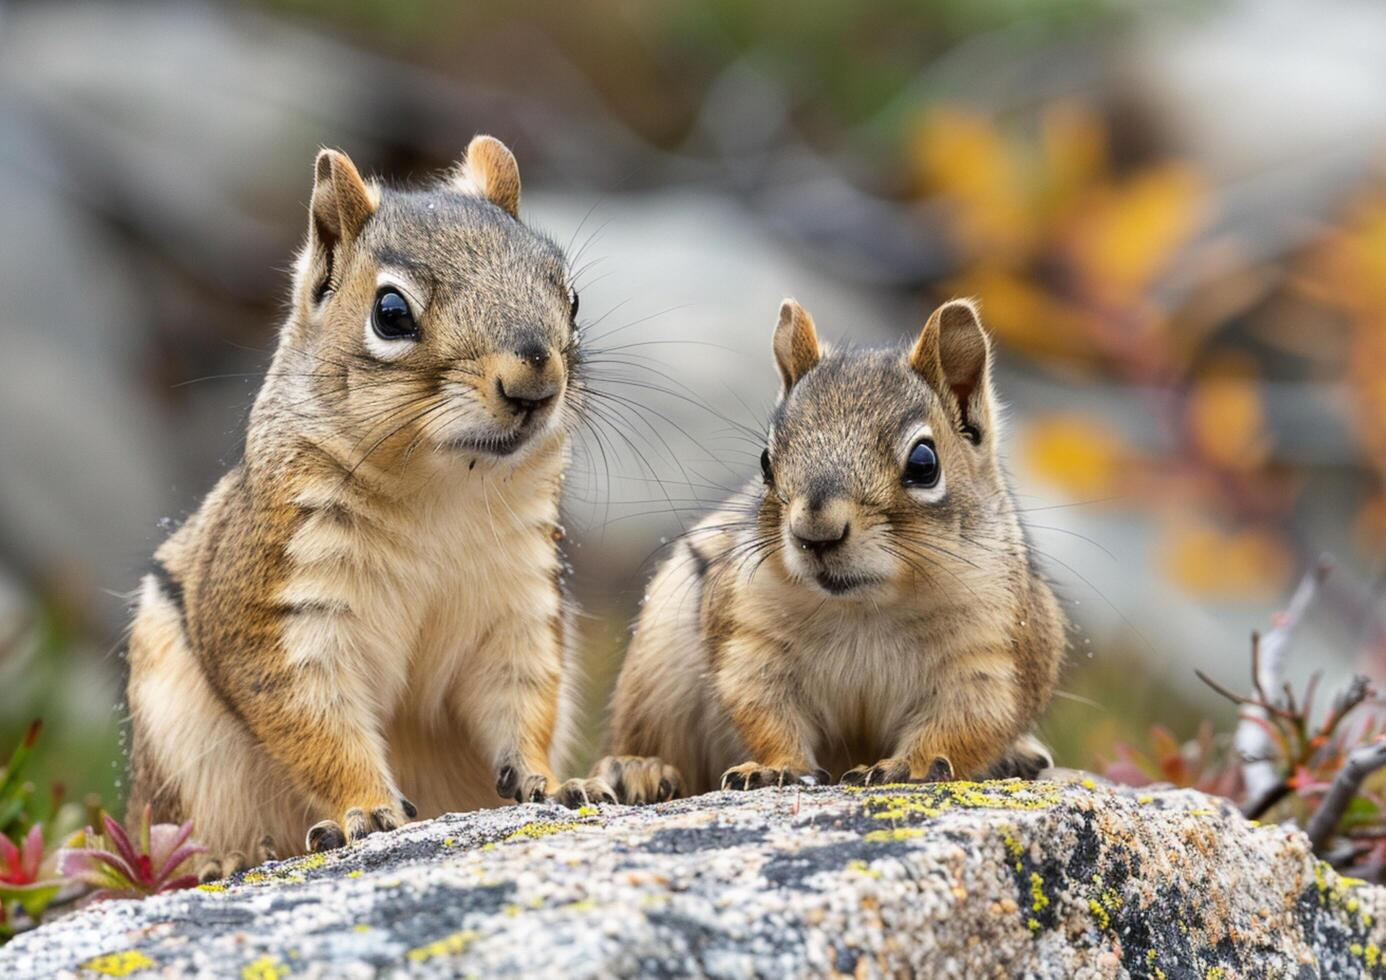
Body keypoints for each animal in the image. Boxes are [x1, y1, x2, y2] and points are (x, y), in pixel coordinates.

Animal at [123, 134, 612, 876]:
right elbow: (316, 725)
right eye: (391, 313)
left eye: (573, 296)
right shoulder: (285, 614)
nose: (536, 380)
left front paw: (550, 782)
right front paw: (369, 812)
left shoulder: (520, 605)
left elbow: (523, 696)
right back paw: (224, 861)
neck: (442, 493)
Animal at [593, 295, 1058, 803]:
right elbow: (765, 714)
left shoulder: (992, 657)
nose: (816, 532)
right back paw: (638, 769)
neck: (864, 610)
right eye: (765, 462)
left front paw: (909, 766)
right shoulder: (750, 640)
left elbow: (964, 725)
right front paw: (774, 768)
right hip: (656, 671)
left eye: (924, 463)